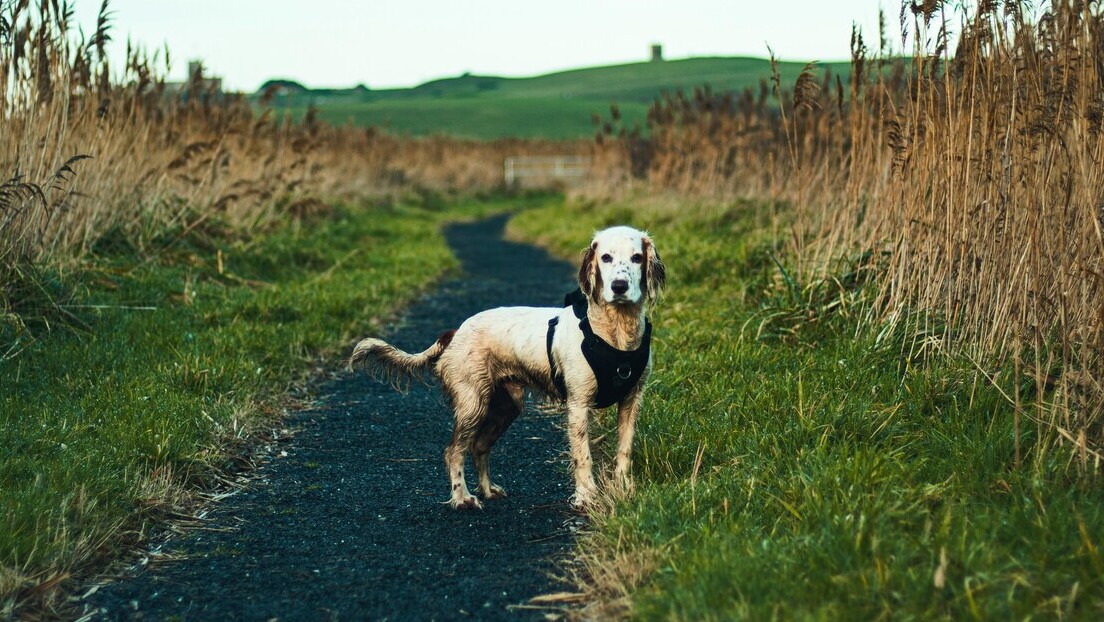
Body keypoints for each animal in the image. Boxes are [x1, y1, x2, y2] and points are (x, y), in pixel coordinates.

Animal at [348, 226, 666, 508]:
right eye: (606, 257)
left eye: (637, 257)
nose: (619, 286)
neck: (614, 333)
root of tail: (455, 331)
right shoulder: (578, 404)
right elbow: (582, 455)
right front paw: (586, 496)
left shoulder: (631, 401)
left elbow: (624, 449)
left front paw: (624, 489)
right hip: (472, 404)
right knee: (453, 451)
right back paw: (462, 498)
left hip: (506, 406)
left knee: (478, 447)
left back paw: (487, 489)